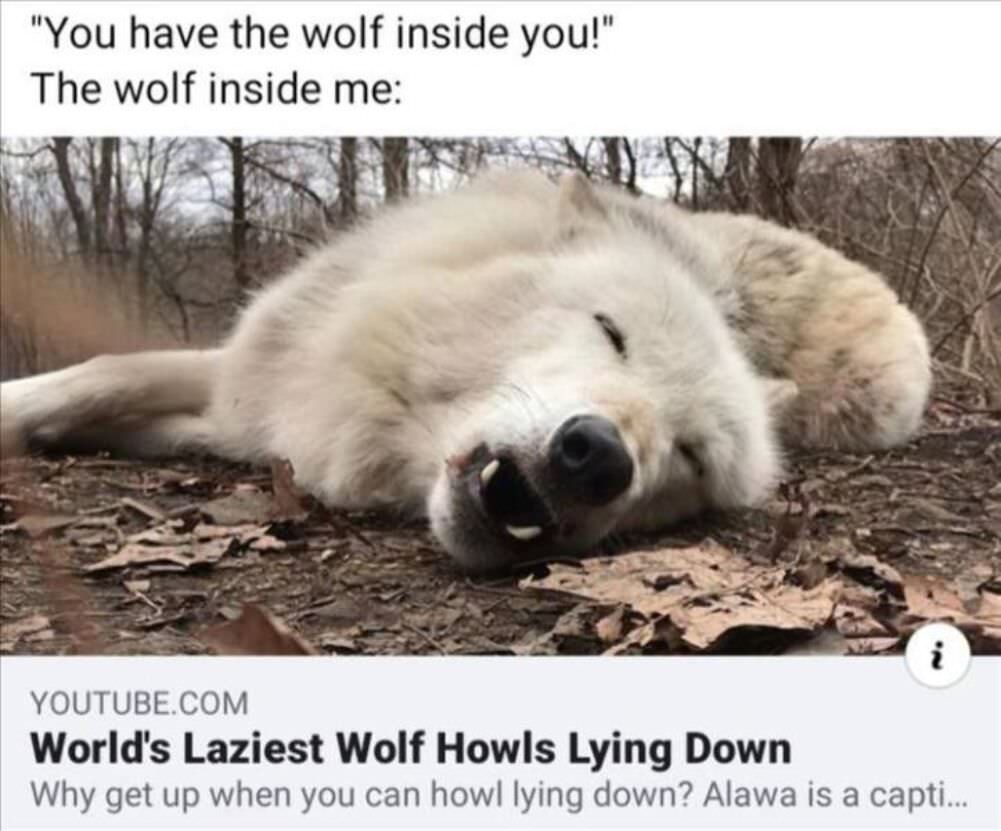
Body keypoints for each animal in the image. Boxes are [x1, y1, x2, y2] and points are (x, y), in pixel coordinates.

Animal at [0, 171, 931, 571]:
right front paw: (24, 411)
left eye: (690, 456)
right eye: (611, 332)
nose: (596, 457)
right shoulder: (257, 388)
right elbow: (105, 370)